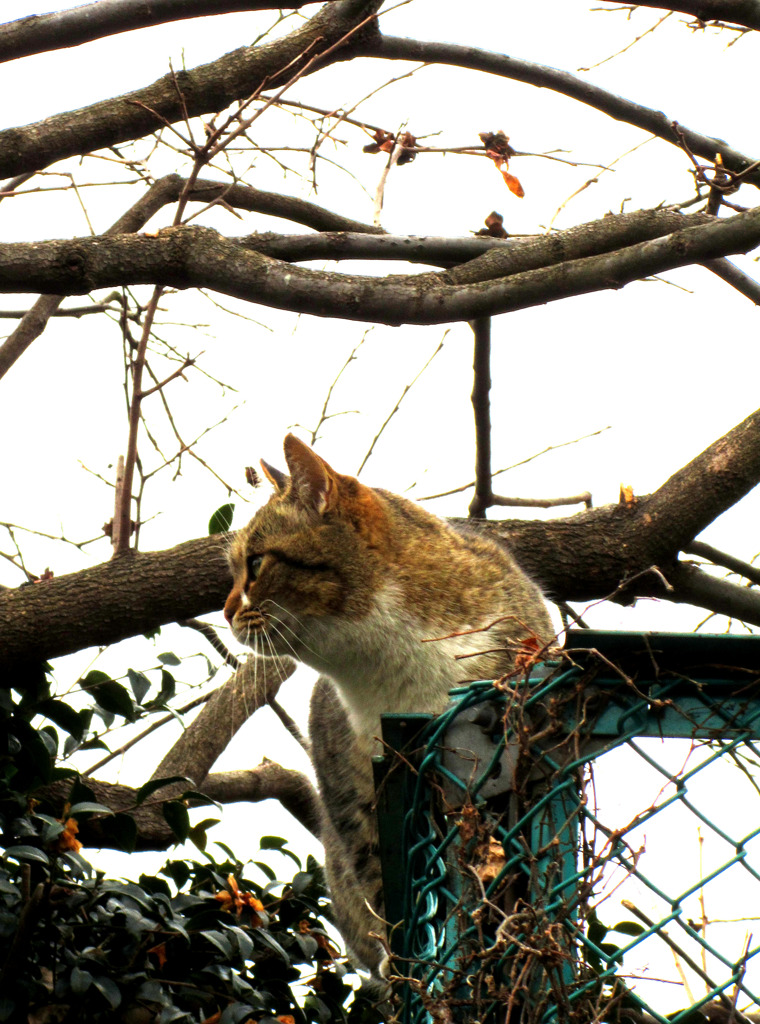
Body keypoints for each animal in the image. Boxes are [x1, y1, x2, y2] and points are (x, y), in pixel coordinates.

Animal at [223, 432, 549, 974]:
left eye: (255, 563)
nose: (226, 611)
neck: (392, 666)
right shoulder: (353, 779)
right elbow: (378, 863)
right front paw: (403, 956)